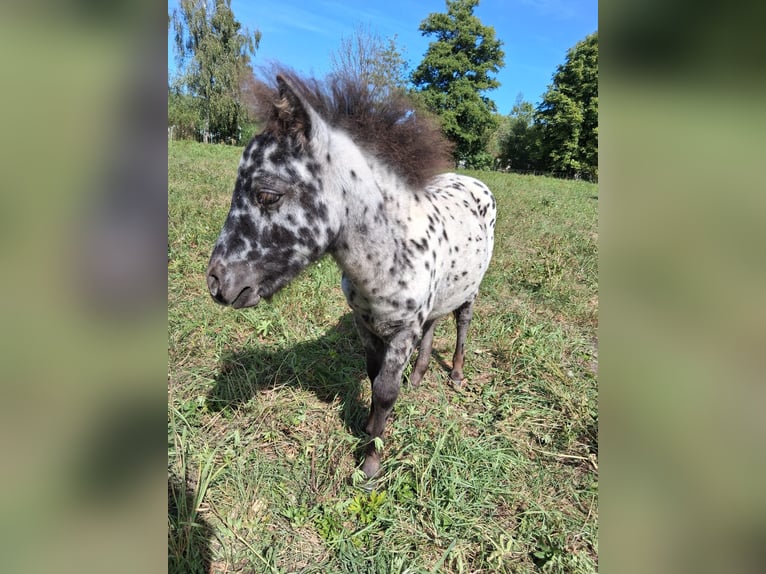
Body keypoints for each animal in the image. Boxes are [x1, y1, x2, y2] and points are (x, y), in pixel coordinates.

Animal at [206, 70, 496, 479]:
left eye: (267, 194)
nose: (218, 282)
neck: (390, 255)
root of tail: (475, 182)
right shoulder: (364, 323)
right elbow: (373, 376)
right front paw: (367, 429)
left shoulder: (403, 332)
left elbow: (386, 391)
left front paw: (372, 462)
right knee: (435, 322)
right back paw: (420, 375)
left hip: (471, 290)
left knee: (461, 322)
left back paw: (455, 375)